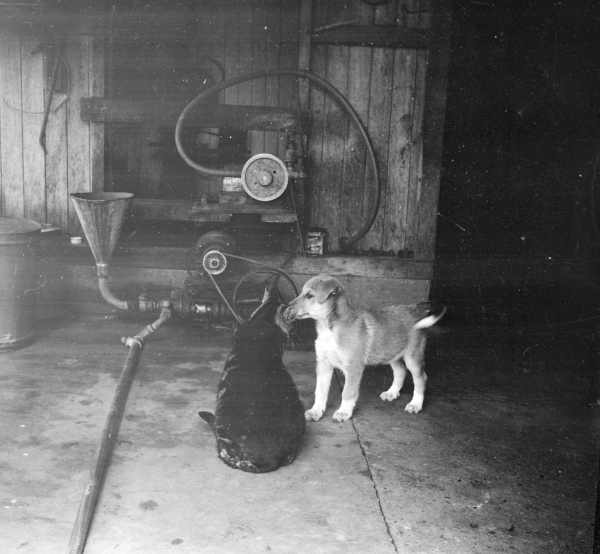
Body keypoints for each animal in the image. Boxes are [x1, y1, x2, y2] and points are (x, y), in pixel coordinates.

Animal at [282, 274, 446, 420]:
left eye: (309, 295)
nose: (286, 308)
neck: (330, 329)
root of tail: (414, 310)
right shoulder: (323, 364)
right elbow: (320, 391)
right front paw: (316, 411)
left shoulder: (353, 368)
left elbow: (348, 392)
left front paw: (343, 412)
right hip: (392, 354)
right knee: (400, 372)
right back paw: (392, 393)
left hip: (413, 357)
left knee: (421, 378)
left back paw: (415, 404)